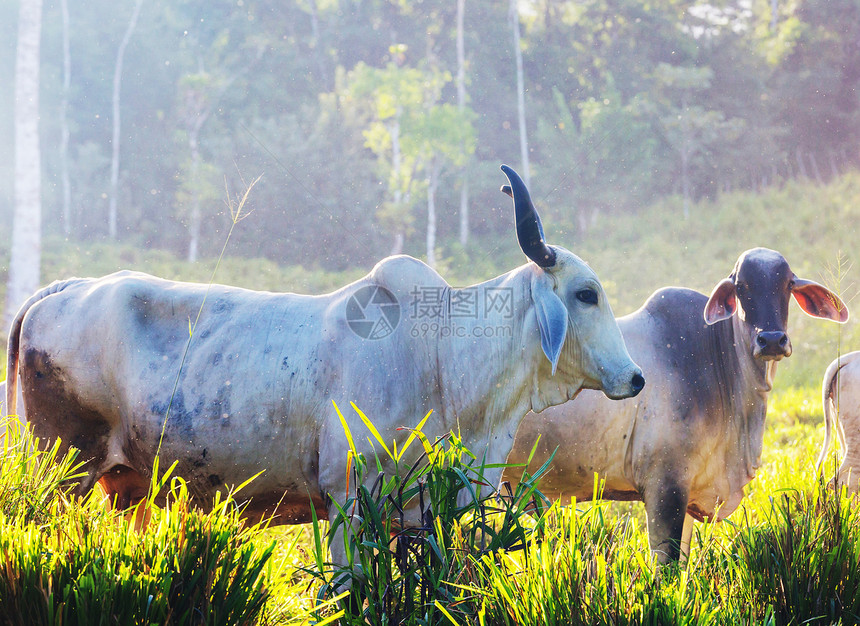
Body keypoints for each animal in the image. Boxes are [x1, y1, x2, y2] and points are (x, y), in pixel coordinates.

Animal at [3, 166, 640, 564]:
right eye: (586, 294)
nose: (635, 378)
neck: (442, 356)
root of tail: (63, 289)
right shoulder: (348, 499)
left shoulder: (415, 514)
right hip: (65, 471)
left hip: (126, 488)